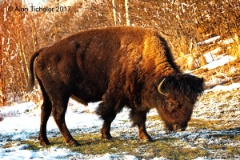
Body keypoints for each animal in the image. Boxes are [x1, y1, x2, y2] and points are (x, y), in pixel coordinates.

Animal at [27, 26, 204, 146]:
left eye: (192, 103)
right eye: (171, 103)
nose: (180, 127)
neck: (143, 59)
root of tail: (44, 51)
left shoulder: (138, 99)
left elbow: (140, 118)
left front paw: (146, 137)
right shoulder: (116, 95)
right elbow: (110, 115)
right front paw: (106, 135)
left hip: (47, 94)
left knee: (45, 111)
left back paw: (44, 141)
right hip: (60, 94)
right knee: (58, 114)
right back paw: (72, 141)